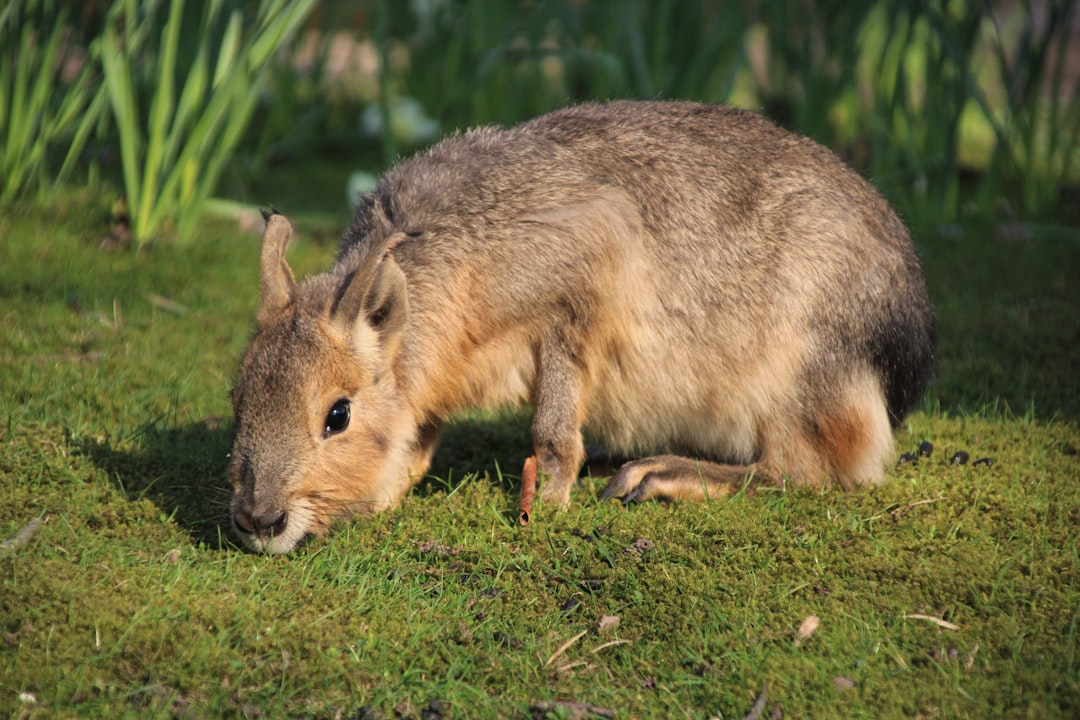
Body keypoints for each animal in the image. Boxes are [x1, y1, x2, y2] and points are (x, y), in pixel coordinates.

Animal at [227, 100, 935, 554]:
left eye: (337, 415)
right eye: (237, 399)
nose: (259, 519)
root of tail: (909, 335)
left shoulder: (577, 294)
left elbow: (553, 429)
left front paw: (547, 501)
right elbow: (417, 438)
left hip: (798, 382)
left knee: (806, 468)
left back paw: (660, 474)